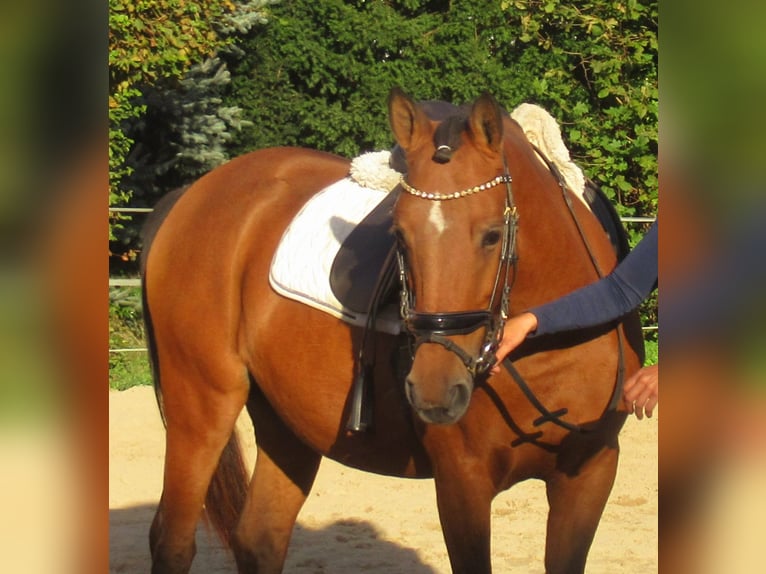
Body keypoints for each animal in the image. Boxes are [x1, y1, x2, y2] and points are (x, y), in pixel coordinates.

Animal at [144, 88, 648, 572]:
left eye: (491, 235)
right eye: (399, 235)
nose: (433, 390)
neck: (553, 344)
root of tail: (191, 194)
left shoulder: (590, 472)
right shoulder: (462, 481)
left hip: (284, 422)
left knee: (259, 539)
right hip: (201, 407)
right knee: (172, 542)